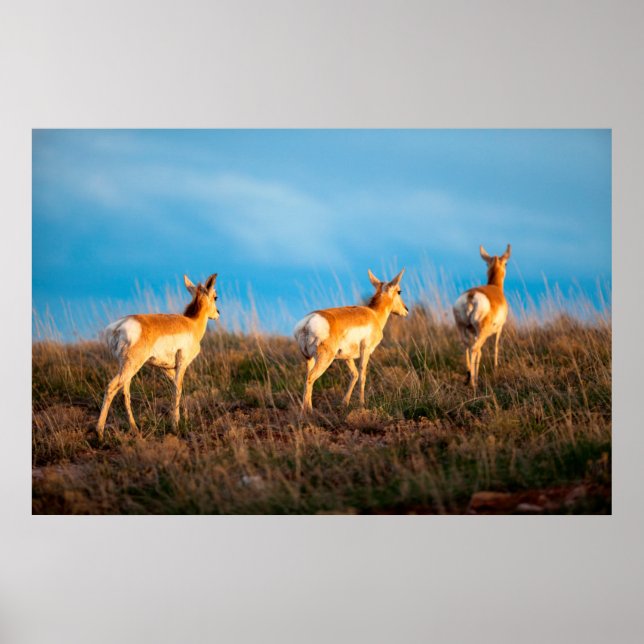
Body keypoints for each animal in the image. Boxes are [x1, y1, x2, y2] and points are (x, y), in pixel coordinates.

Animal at [96, 273, 219, 440]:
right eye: (215, 296)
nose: (218, 313)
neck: (191, 323)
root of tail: (117, 327)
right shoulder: (182, 364)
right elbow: (177, 390)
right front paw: (175, 426)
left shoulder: (166, 369)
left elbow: (177, 388)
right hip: (131, 366)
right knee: (111, 388)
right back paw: (100, 433)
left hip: (126, 369)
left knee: (125, 393)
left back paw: (135, 429)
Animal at [294, 269, 408, 412]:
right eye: (399, 291)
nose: (406, 309)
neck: (373, 314)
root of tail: (307, 322)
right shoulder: (366, 351)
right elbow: (362, 375)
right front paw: (362, 405)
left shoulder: (347, 357)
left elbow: (354, 374)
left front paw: (345, 403)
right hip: (325, 359)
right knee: (311, 378)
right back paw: (308, 412)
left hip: (309, 359)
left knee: (307, 377)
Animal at [453, 244, 511, 390]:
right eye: (506, 263)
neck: (495, 287)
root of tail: (471, 295)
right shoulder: (499, 329)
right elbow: (496, 346)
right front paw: (496, 368)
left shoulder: (473, 333)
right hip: (482, 332)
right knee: (474, 348)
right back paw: (473, 382)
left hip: (463, 329)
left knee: (467, 346)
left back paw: (469, 376)